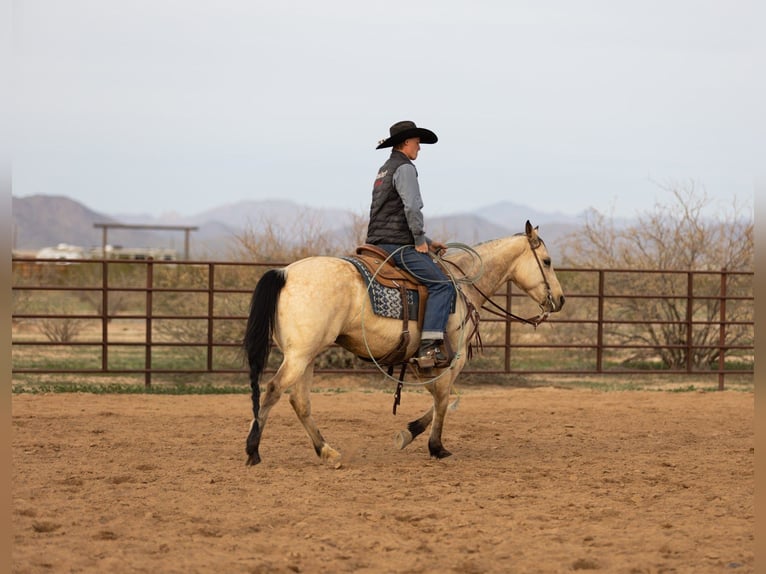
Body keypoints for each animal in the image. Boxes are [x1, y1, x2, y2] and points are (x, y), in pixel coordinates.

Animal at [243, 220, 565, 467]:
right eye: (547, 262)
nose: (560, 300)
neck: (462, 285)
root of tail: (285, 273)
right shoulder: (452, 360)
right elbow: (443, 399)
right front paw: (435, 446)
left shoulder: (422, 363)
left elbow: (441, 399)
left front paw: (410, 432)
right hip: (300, 356)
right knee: (273, 390)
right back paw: (253, 450)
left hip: (305, 356)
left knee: (299, 401)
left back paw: (327, 451)